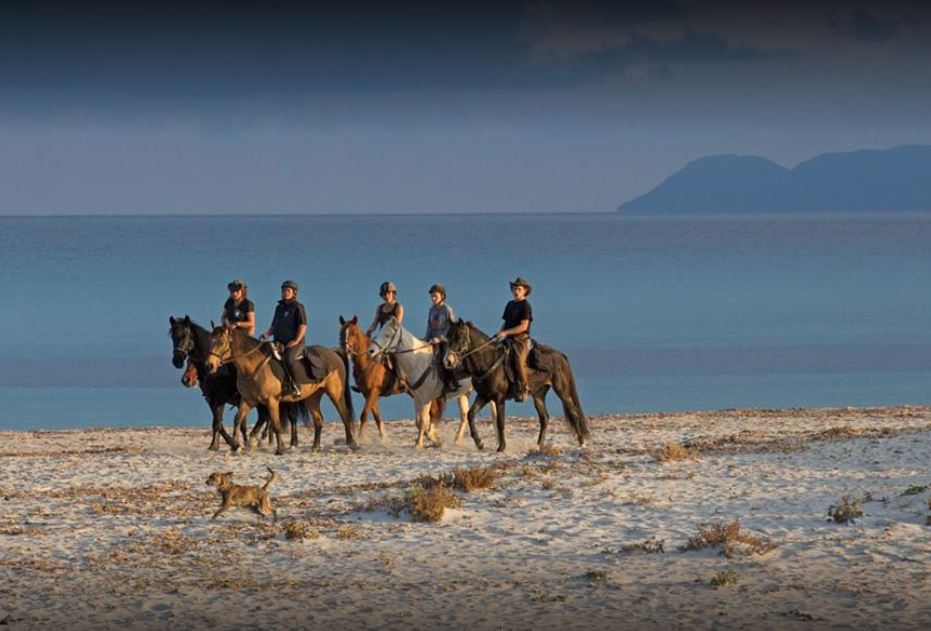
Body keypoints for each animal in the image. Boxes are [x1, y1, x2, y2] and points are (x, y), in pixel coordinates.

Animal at [205, 327, 357, 455]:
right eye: (211, 342)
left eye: (221, 342)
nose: (209, 365)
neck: (253, 367)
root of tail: (333, 352)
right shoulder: (248, 400)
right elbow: (237, 419)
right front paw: (235, 445)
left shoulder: (271, 401)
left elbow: (276, 424)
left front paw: (280, 449)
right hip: (312, 397)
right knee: (318, 419)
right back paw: (315, 447)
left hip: (335, 393)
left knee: (344, 414)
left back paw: (351, 443)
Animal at [367, 317, 483, 449]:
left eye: (387, 335)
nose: (371, 351)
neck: (417, 361)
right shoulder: (417, 398)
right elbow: (419, 422)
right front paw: (435, 440)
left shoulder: (426, 399)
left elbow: (423, 421)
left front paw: (419, 444)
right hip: (463, 393)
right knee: (464, 415)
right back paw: (457, 441)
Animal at [442, 319, 589, 452]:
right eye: (449, 337)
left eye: (459, 337)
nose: (448, 361)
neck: (488, 361)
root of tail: (560, 355)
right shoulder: (484, 396)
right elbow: (470, 414)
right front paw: (479, 443)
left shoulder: (499, 398)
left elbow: (500, 422)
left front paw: (501, 447)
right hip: (539, 394)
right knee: (544, 418)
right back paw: (538, 446)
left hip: (561, 391)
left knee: (573, 413)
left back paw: (582, 443)